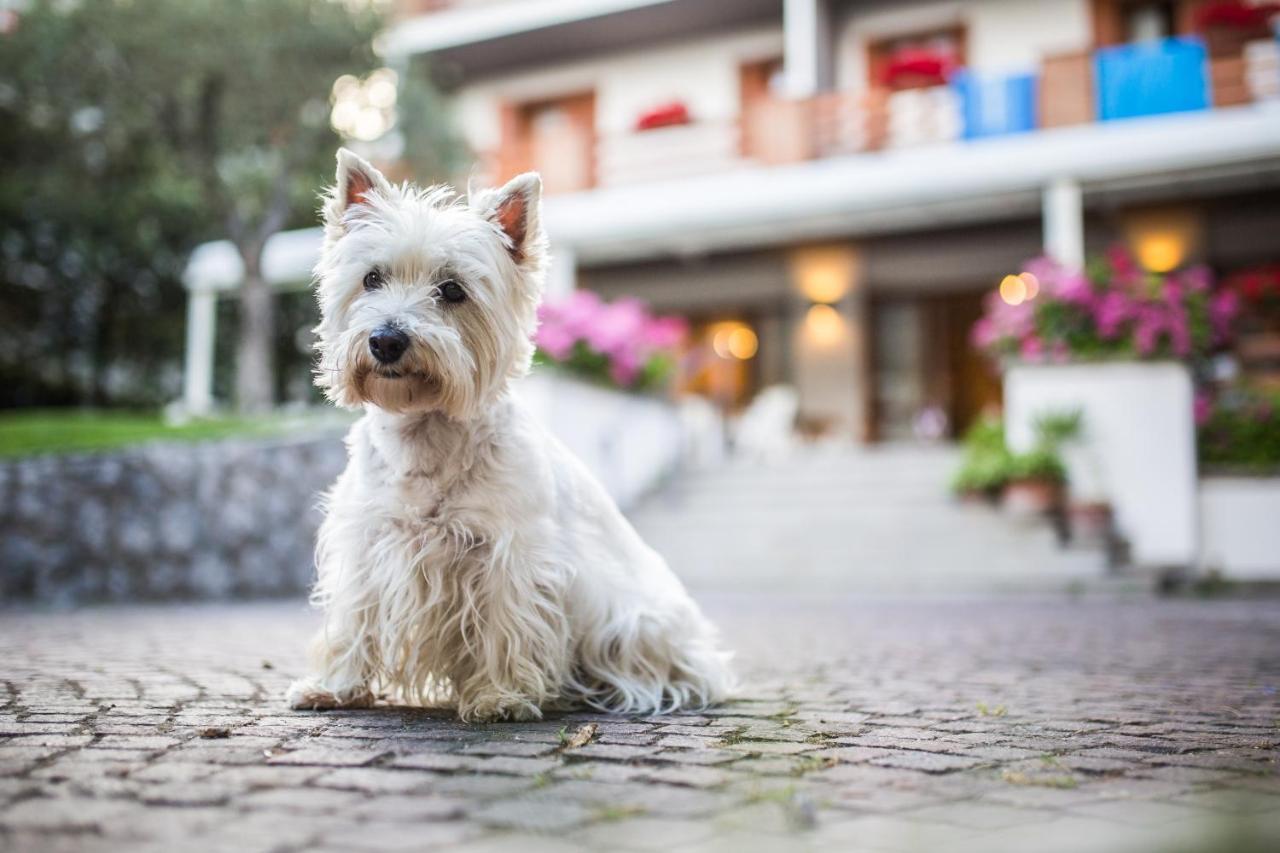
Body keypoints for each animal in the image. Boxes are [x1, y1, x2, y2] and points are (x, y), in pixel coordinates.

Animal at [286, 151, 737, 717]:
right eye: (371, 278)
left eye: (452, 290)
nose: (386, 339)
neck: (426, 433)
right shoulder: (366, 542)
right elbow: (354, 617)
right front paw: (334, 685)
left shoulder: (512, 552)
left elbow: (506, 624)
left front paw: (500, 696)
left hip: (637, 621)